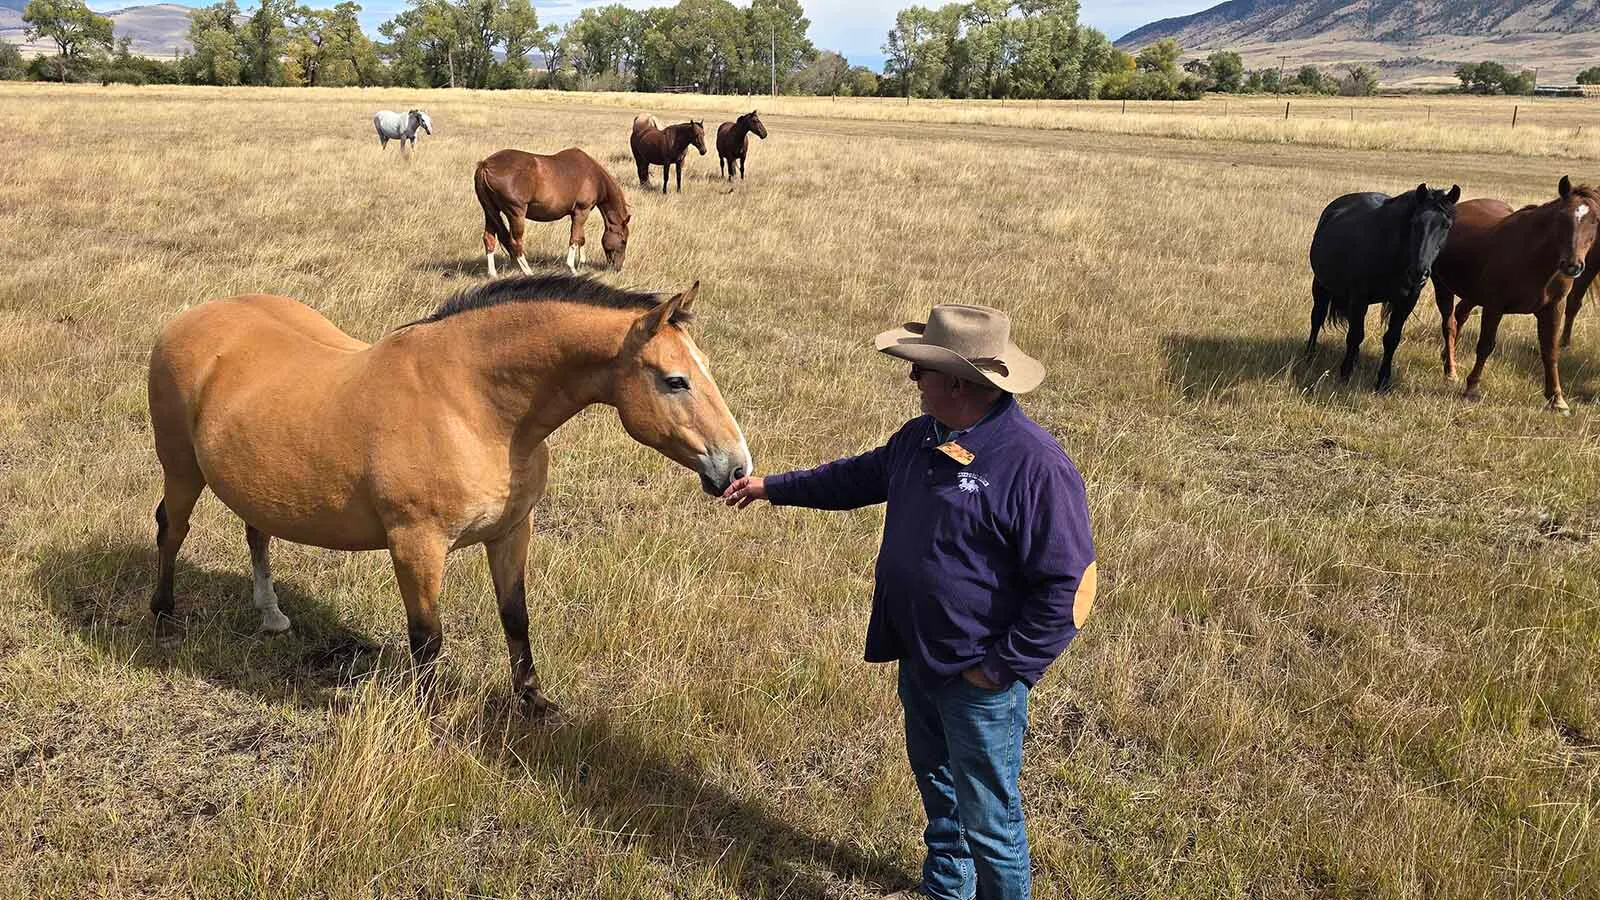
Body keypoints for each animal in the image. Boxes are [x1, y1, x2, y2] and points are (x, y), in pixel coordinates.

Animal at [147, 274, 752, 715]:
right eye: (675, 381)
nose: (736, 467)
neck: (472, 405)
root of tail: (187, 320)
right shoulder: (417, 546)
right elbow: (427, 637)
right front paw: (430, 716)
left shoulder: (511, 533)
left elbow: (515, 616)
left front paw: (534, 702)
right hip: (180, 470)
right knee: (171, 529)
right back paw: (163, 615)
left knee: (257, 532)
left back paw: (271, 614)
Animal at [474, 148, 631, 278]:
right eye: (623, 240)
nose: (619, 267)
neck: (593, 176)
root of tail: (485, 165)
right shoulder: (582, 211)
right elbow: (574, 238)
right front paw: (572, 268)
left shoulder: (578, 214)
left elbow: (580, 238)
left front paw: (582, 262)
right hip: (516, 214)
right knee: (515, 242)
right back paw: (528, 272)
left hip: (491, 212)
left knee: (489, 238)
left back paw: (493, 274)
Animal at [1306, 183, 1460, 391]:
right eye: (1415, 223)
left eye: (1447, 226)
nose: (1419, 272)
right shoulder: (1359, 298)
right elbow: (1355, 335)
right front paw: (1345, 374)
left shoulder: (1406, 302)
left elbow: (1391, 338)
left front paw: (1383, 380)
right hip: (1321, 285)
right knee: (1317, 317)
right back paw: (1309, 355)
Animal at [1432, 176, 1600, 413]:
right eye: (1562, 216)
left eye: (1595, 220)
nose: (1572, 266)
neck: (1535, 257)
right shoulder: (1494, 305)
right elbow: (1485, 345)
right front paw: (1472, 387)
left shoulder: (1553, 307)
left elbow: (1550, 351)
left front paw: (1557, 399)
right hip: (1442, 285)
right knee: (1449, 324)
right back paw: (1450, 370)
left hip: (1472, 293)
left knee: (1460, 315)